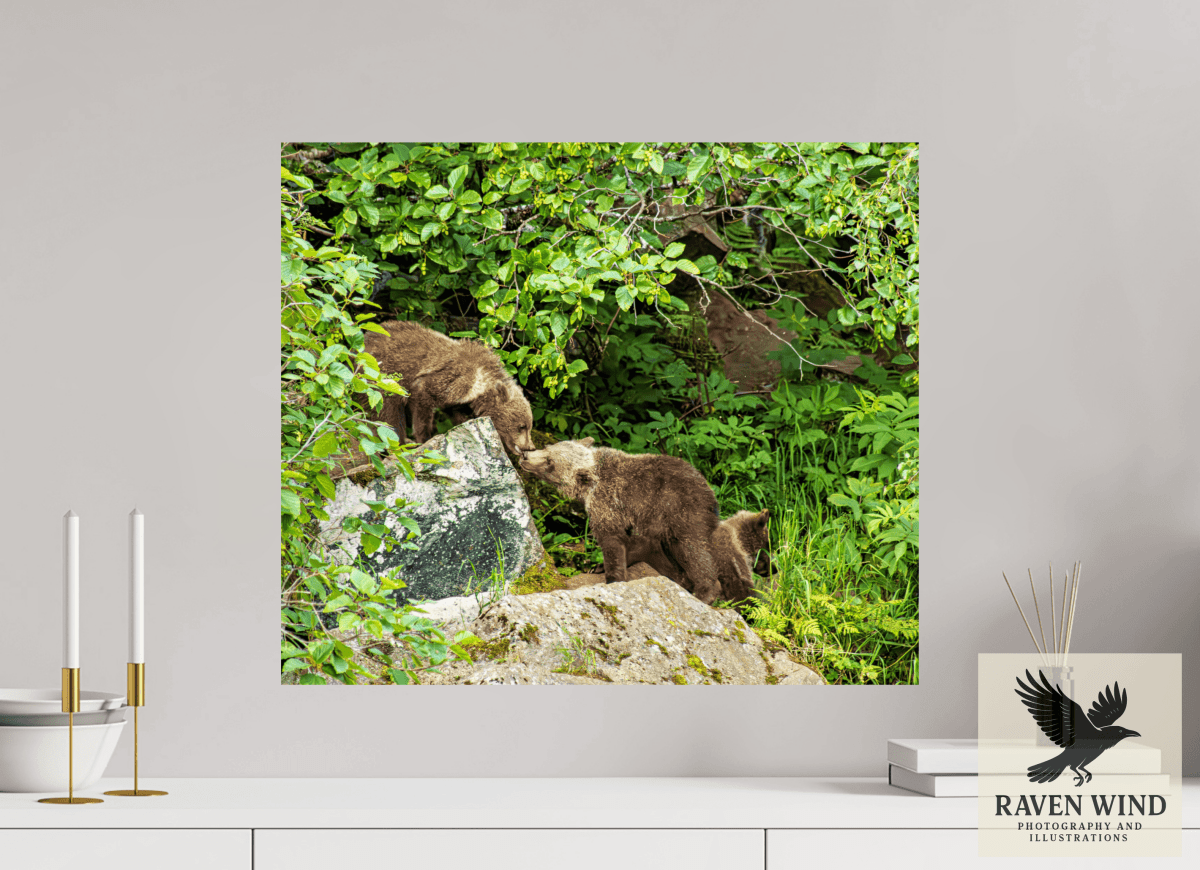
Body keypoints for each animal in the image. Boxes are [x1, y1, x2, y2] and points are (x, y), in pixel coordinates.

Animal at [363, 320, 535, 456]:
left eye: (529, 425)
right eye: (521, 426)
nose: (530, 447)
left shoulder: (457, 400)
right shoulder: (448, 380)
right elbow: (422, 406)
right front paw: (425, 438)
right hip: (381, 377)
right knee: (388, 413)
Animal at [517, 437, 723, 603]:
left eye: (550, 462)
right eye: (547, 447)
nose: (525, 456)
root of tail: (711, 495)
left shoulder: (608, 504)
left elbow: (612, 542)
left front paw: (613, 577)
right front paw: (599, 566)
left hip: (681, 513)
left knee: (694, 551)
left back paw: (705, 591)